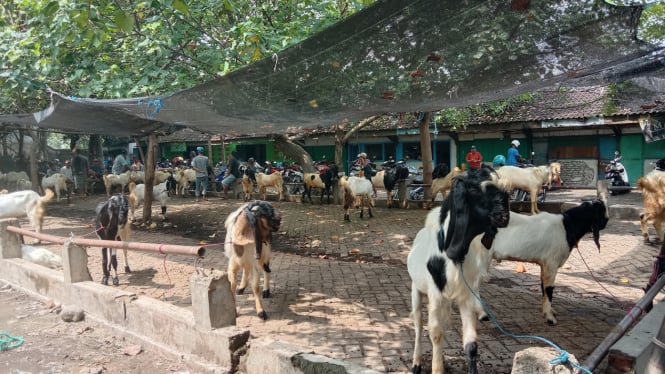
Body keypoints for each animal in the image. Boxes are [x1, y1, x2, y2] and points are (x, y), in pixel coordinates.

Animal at [404, 167, 508, 374]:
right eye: (474, 189)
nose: (504, 215)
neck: (453, 256)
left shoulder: (465, 296)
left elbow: (471, 343)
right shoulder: (435, 294)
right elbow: (435, 333)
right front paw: (436, 368)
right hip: (416, 289)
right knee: (419, 324)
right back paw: (417, 363)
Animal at [478, 199, 608, 324]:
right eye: (601, 211)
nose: (606, 221)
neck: (566, 226)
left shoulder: (544, 264)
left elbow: (543, 286)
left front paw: (548, 311)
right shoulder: (552, 263)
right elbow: (549, 289)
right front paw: (550, 317)